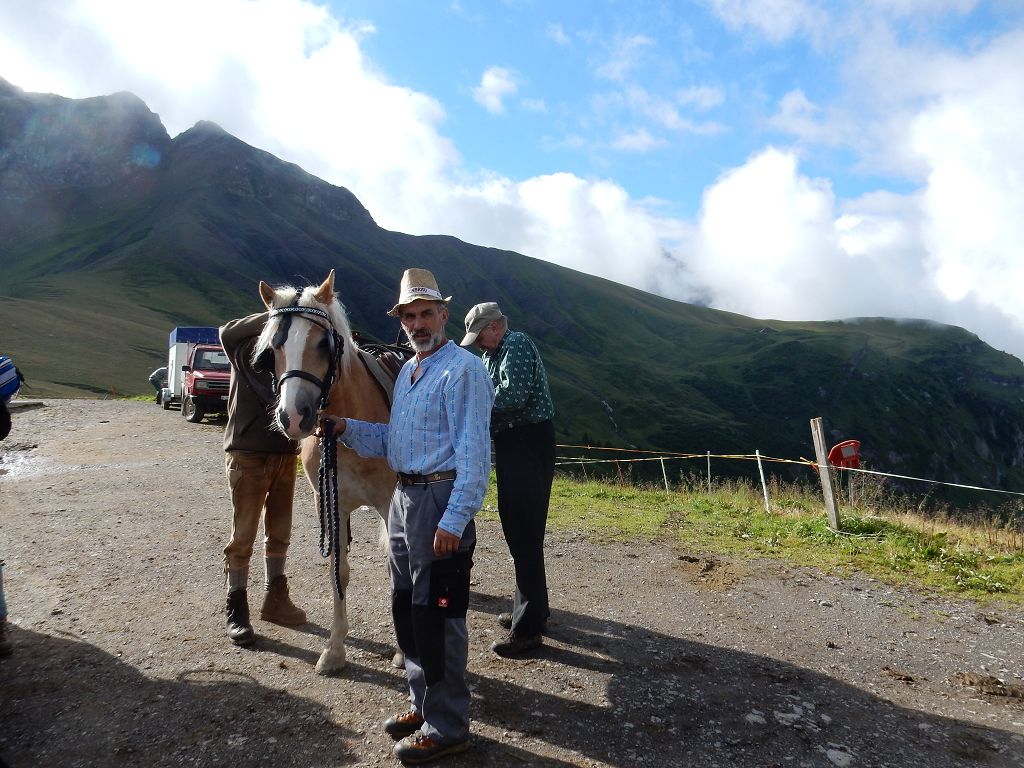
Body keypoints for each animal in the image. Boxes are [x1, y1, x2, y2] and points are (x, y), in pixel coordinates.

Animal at [255, 270, 401, 675]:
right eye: (272, 348)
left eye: (323, 343)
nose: (293, 416)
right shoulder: (331, 503)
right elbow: (340, 569)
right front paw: (334, 650)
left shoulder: (391, 503)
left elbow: (396, 567)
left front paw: (404, 650)